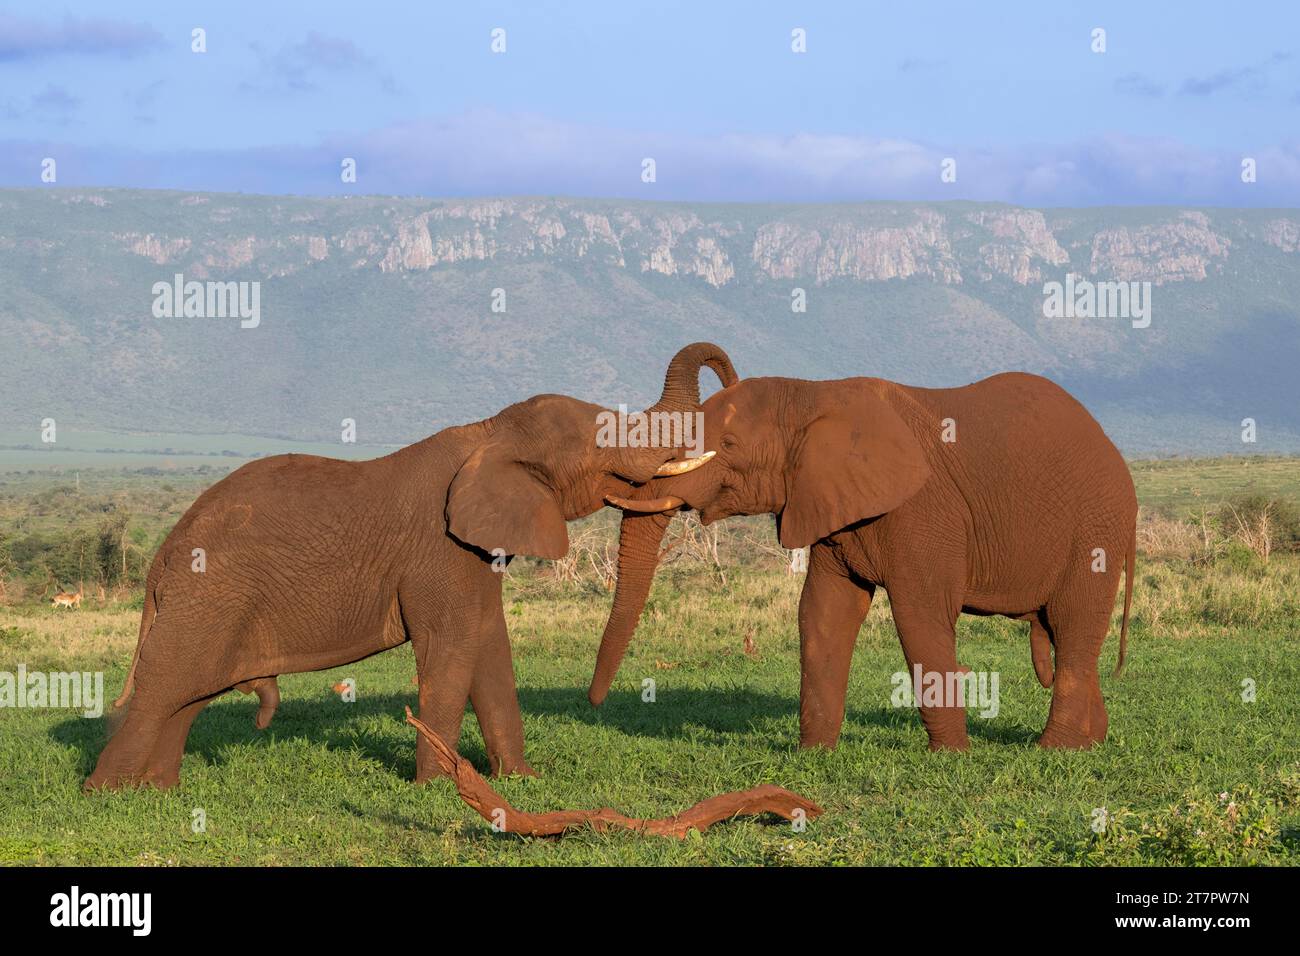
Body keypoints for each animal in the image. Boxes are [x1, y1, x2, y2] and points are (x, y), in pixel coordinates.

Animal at [83, 345, 733, 790]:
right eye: (603, 443)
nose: (595, 705)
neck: (488, 432)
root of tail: (163, 556)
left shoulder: (473, 551)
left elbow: (489, 646)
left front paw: (521, 781)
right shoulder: (439, 549)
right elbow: (452, 644)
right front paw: (439, 788)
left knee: (188, 695)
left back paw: (157, 792)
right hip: (208, 593)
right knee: (166, 687)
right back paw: (110, 797)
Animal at [595, 343, 1133, 754]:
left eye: (727, 444)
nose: (593, 703)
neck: (811, 393)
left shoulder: (920, 511)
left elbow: (919, 616)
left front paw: (950, 757)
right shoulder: (829, 505)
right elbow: (823, 612)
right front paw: (813, 755)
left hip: (1096, 529)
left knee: (1074, 624)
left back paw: (1056, 750)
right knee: (1065, 633)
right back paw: (1093, 742)